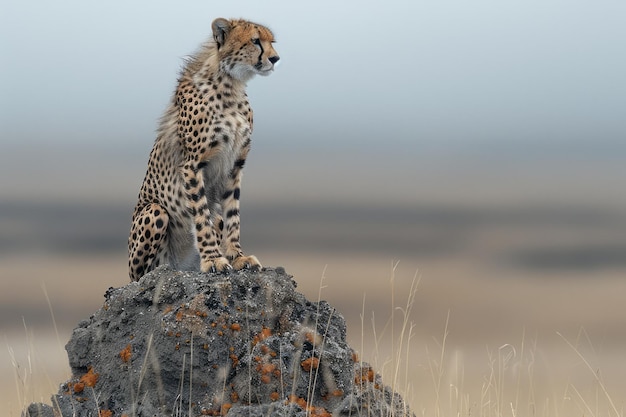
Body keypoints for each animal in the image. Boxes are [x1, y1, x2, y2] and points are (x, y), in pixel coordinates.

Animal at [127, 17, 278, 282]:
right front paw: (213, 259)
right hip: (154, 213)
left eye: (272, 42)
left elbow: (232, 215)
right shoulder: (192, 165)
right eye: (255, 41)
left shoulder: (235, 166)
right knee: (144, 272)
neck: (231, 85)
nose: (275, 58)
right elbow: (200, 215)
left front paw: (237, 257)